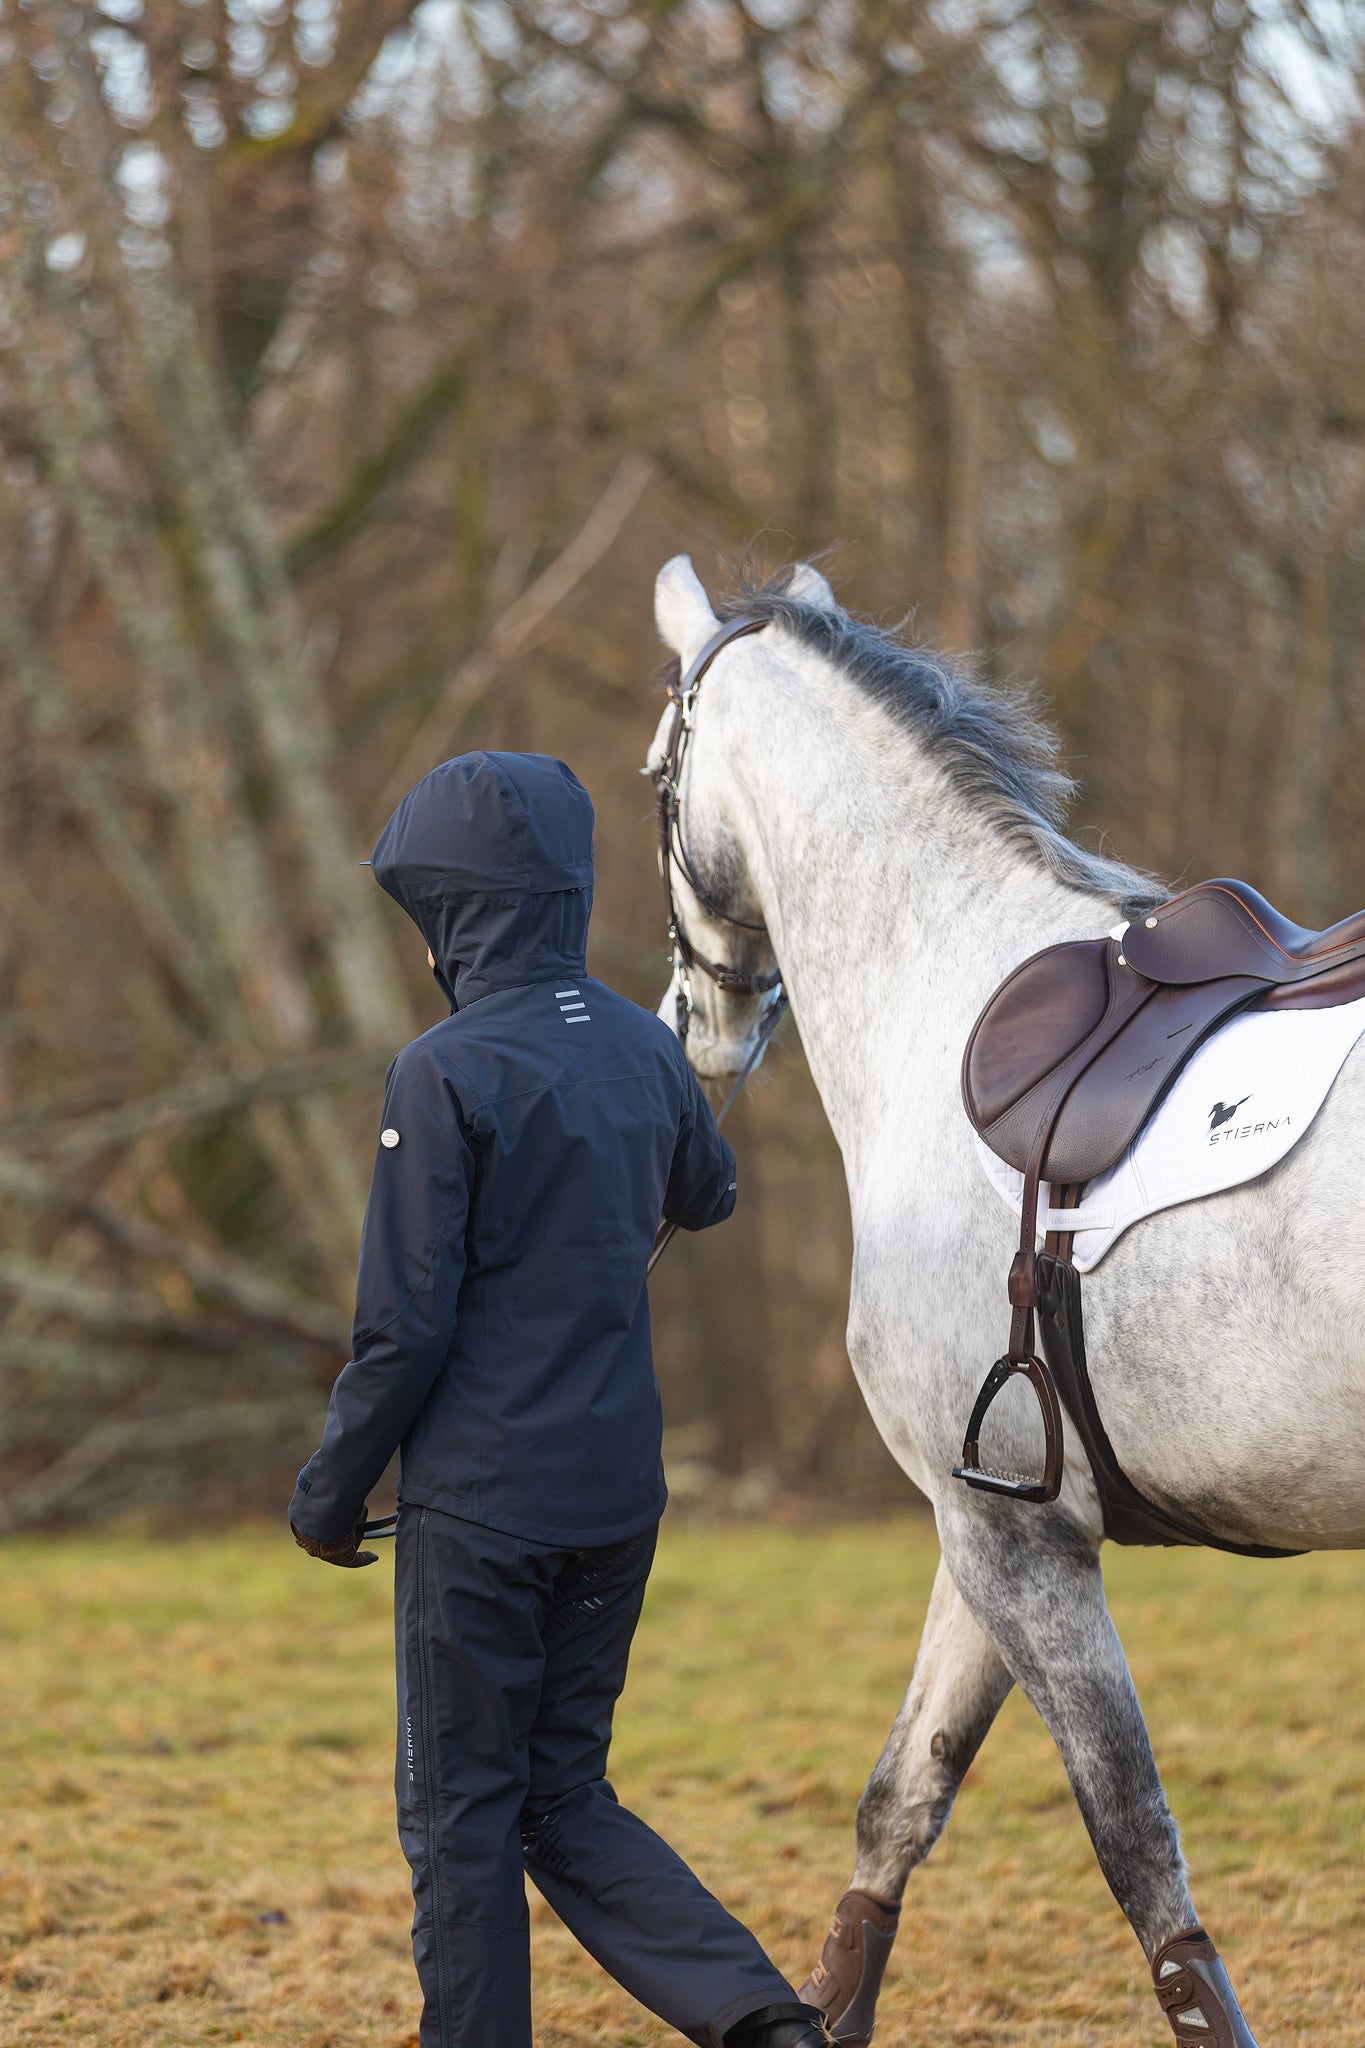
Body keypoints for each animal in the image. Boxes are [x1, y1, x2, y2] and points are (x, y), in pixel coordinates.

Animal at [642, 552, 1365, 2039]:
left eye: (652, 776)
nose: (694, 1027)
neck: (941, 986)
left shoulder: (1017, 1543)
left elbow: (1136, 1847)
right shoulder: (979, 1520)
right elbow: (896, 1805)